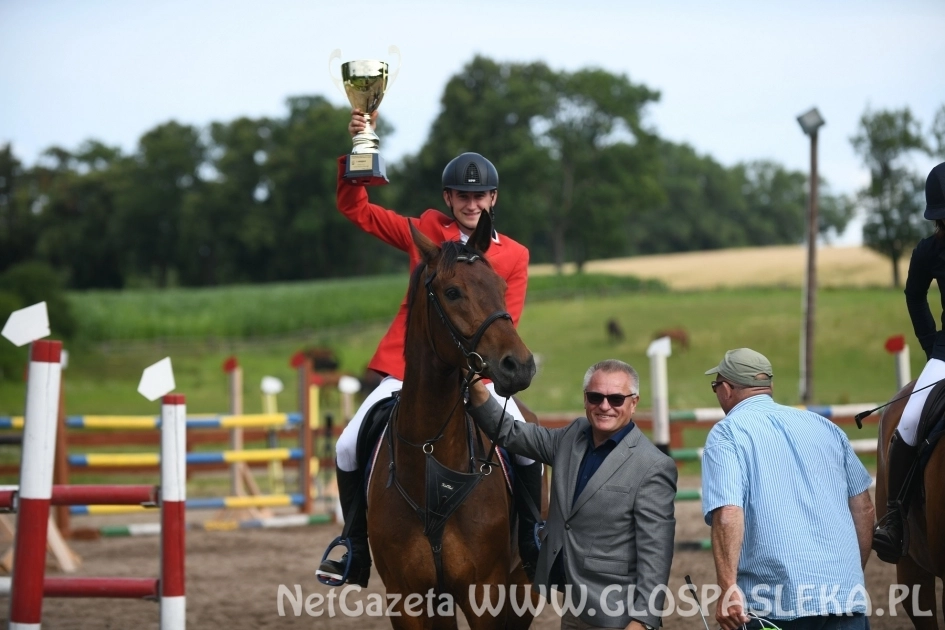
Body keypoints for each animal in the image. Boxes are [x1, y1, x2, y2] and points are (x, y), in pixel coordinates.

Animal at [366, 214, 536, 630]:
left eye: (503, 287)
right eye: (453, 292)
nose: (520, 366)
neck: (431, 454)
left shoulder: (486, 592)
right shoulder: (406, 597)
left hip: (523, 586)